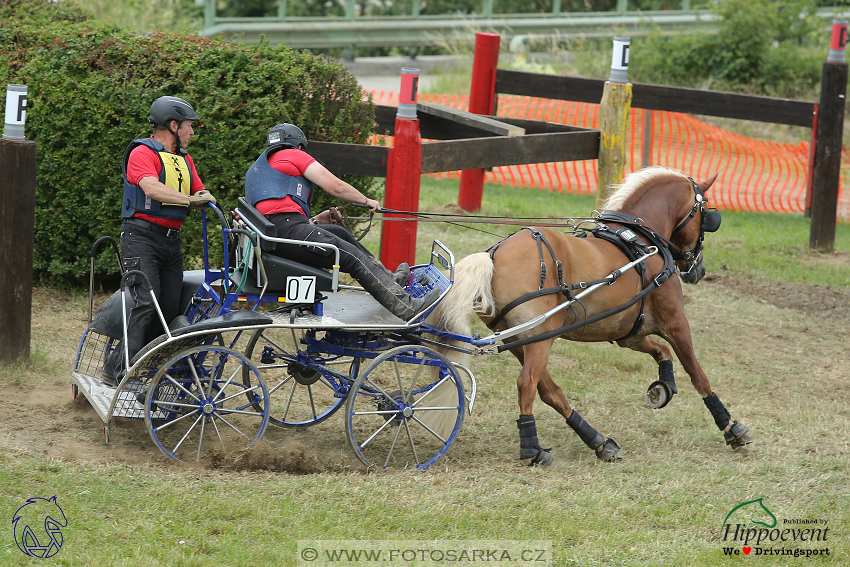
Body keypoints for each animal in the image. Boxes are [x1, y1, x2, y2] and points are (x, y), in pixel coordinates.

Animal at [428, 168, 752, 466]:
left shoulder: (629, 332)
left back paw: (598, 441)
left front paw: (664, 386)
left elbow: (662, 352)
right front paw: (730, 427)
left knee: (549, 391)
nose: (699, 269)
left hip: (519, 341)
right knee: (527, 384)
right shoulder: (675, 322)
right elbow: (698, 375)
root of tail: (494, 255)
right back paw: (533, 449)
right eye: (706, 213)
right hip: (538, 339)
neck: (642, 242)